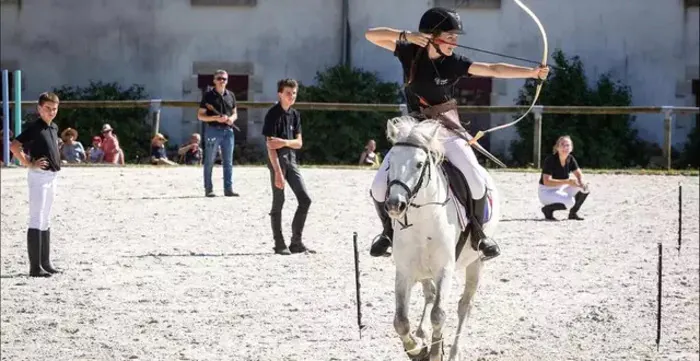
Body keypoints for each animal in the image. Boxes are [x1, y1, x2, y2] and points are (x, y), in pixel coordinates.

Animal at [382, 116, 498, 360]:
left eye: (419, 164)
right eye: (389, 163)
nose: (395, 205)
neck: (422, 219)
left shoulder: (444, 269)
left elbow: (438, 314)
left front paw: (435, 352)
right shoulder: (404, 271)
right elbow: (400, 321)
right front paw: (417, 350)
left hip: (476, 263)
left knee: (464, 306)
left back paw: (452, 351)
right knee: (430, 294)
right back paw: (422, 333)